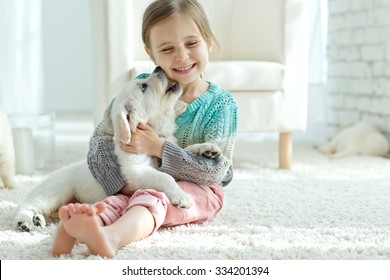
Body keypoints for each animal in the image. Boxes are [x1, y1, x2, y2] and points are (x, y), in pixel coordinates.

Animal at [15, 67, 221, 232]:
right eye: (143, 86)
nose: (159, 67)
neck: (155, 129)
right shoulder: (135, 171)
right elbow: (165, 176)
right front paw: (181, 196)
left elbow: (182, 152)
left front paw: (208, 149)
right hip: (55, 191)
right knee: (28, 204)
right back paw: (25, 221)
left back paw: (39, 220)